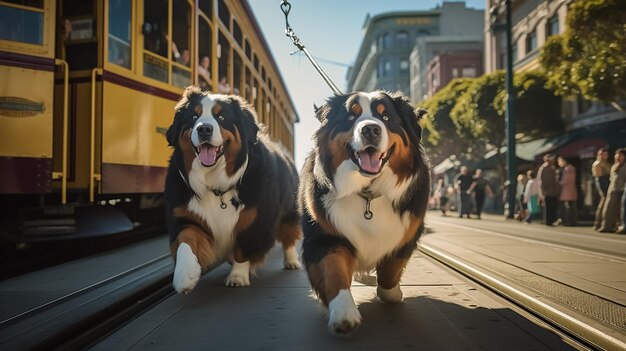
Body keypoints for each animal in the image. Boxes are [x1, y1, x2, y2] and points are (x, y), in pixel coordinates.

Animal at [165, 87, 302, 294]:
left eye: (221, 117)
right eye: (194, 117)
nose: (204, 129)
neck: (215, 184)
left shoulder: (254, 219)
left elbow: (242, 251)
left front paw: (238, 276)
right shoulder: (187, 215)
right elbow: (185, 240)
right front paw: (185, 275)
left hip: (289, 211)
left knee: (289, 236)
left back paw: (292, 261)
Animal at [298, 91, 428, 336]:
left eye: (386, 117)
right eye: (351, 116)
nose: (370, 129)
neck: (367, 192)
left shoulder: (410, 231)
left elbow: (392, 267)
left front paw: (391, 293)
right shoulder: (325, 235)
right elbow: (334, 271)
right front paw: (343, 312)